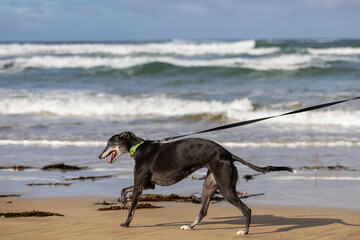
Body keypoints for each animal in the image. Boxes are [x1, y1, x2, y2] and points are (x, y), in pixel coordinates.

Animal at [98, 131, 292, 234]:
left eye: (109, 143)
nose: (99, 156)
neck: (138, 148)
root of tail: (229, 154)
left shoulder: (140, 187)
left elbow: (132, 209)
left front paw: (126, 222)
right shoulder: (148, 185)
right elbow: (123, 190)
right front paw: (123, 203)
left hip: (225, 187)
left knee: (247, 209)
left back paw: (244, 231)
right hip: (210, 184)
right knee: (203, 211)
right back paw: (189, 226)